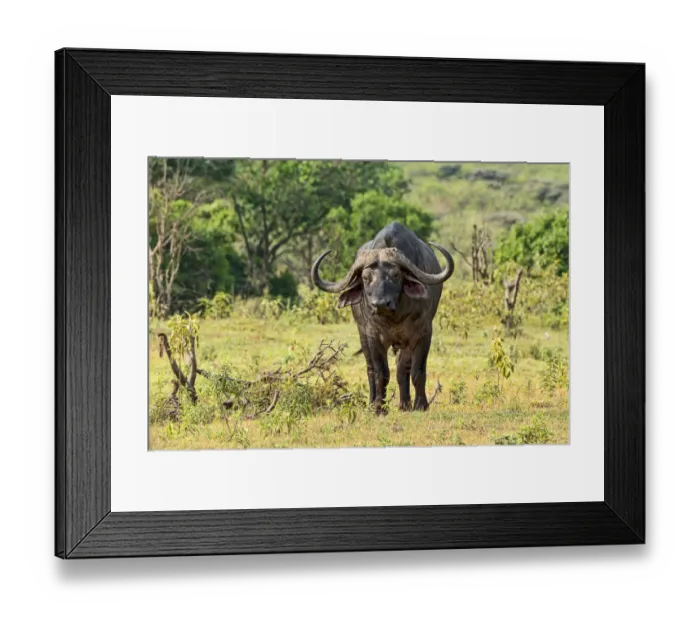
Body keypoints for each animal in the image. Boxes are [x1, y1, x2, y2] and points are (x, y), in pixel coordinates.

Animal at [311, 222, 454, 414]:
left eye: (396, 275)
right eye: (365, 278)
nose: (380, 304)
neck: (394, 316)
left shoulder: (422, 334)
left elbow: (416, 371)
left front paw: (420, 404)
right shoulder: (373, 337)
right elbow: (381, 373)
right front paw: (379, 407)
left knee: (402, 368)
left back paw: (404, 404)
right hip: (363, 335)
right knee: (371, 369)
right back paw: (373, 403)